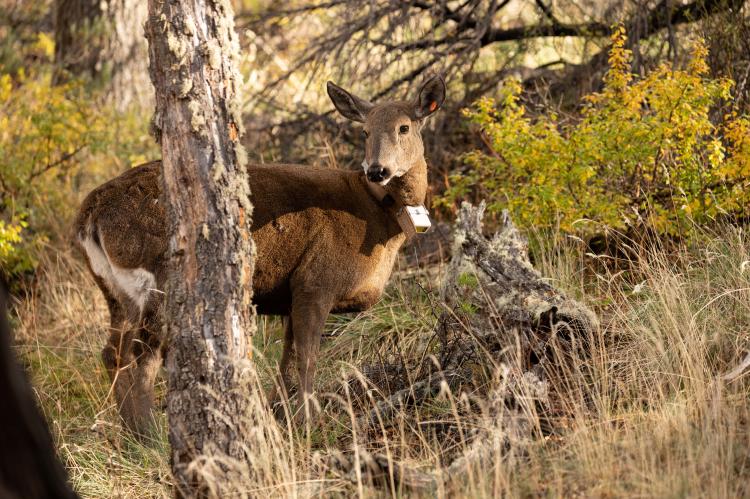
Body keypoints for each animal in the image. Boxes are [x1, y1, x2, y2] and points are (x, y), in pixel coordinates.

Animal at [75, 72, 446, 436]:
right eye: (365, 130)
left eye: (404, 127)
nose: (377, 170)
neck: (378, 217)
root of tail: (89, 216)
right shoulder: (315, 280)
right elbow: (307, 357)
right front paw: (309, 423)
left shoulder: (292, 294)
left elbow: (287, 360)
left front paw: (280, 416)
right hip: (159, 276)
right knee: (142, 354)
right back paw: (149, 435)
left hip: (115, 290)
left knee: (113, 352)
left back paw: (130, 435)